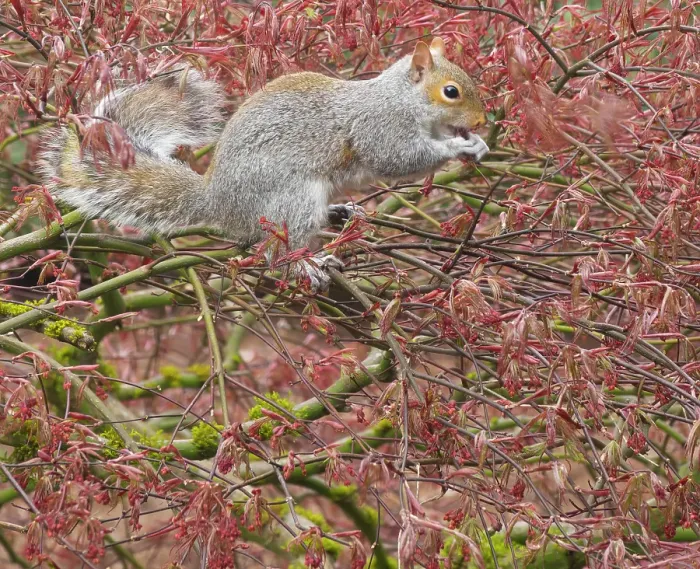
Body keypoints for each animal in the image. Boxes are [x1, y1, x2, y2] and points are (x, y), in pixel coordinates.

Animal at [39, 37, 489, 291]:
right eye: (451, 91)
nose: (483, 121)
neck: (402, 100)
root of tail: (218, 202)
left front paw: (476, 143)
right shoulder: (379, 127)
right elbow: (400, 158)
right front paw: (458, 147)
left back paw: (340, 212)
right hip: (292, 198)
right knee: (276, 252)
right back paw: (307, 265)